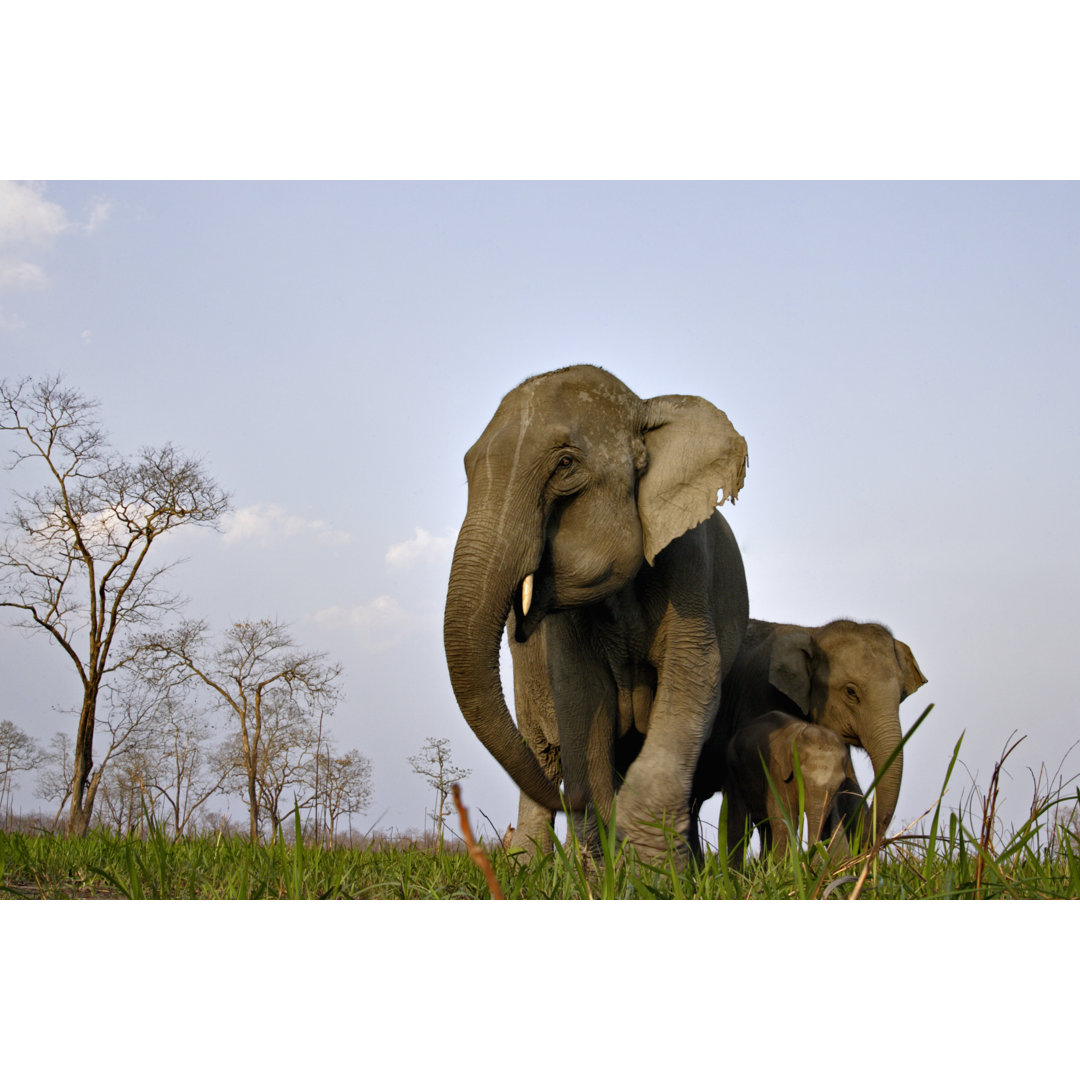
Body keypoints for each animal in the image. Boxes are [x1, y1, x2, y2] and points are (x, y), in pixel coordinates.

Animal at [442, 362, 747, 859]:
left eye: (565, 464)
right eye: (468, 470)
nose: (574, 802)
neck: (644, 408)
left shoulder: (688, 563)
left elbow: (692, 676)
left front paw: (649, 865)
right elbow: (581, 696)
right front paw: (613, 862)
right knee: (543, 755)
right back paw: (529, 863)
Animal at [725, 708, 851, 868]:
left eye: (841, 784)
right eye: (802, 780)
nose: (812, 863)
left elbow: (834, 822)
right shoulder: (776, 772)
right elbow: (786, 820)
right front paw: (784, 869)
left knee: (765, 827)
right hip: (733, 770)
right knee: (740, 825)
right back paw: (736, 872)